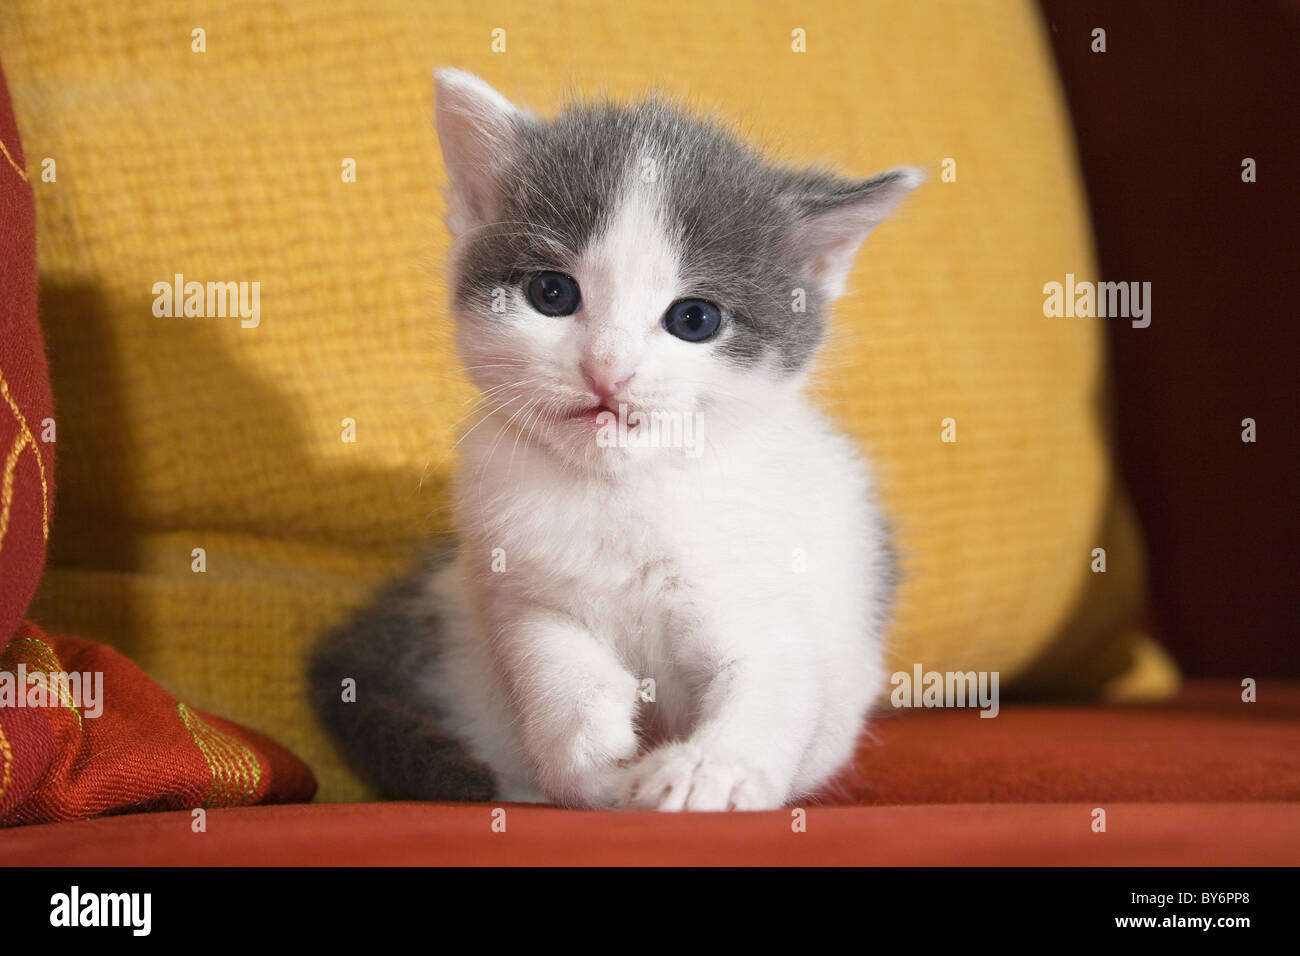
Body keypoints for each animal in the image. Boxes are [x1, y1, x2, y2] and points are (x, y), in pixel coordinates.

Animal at [309, 70, 920, 811]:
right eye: (551, 292)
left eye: (695, 318)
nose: (607, 367)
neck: (625, 492)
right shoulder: (517, 587)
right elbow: (549, 660)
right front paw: (589, 751)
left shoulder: (770, 588)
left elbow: (776, 679)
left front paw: (709, 770)